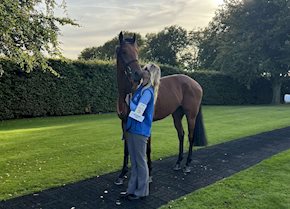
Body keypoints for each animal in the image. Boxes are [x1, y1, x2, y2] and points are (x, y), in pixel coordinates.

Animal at [114, 31, 207, 185]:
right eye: (123, 51)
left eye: (137, 51)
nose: (138, 74)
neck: (127, 93)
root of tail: (195, 83)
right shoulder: (124, 122)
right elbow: (127, 149)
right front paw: (122, 174)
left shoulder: (145, 122)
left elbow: (147, 148)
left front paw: (149, 174)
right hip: (177, 115)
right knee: (181, 134)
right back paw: (178, 162)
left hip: (191, 115)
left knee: (190, 136)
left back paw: (187, 165)